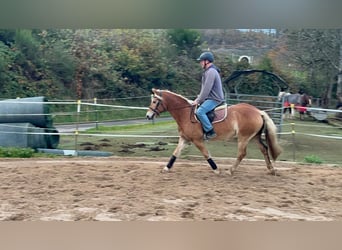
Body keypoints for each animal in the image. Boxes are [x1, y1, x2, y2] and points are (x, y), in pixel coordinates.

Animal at [146, 89, 282, 175]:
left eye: (155, 101)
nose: (148, 116)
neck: (185, 113)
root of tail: (258, 111)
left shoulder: (197, 140)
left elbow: (206, 154)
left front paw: (216, 170)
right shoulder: (184, 139)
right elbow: (175, 153)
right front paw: (166, 168)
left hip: (244, 137)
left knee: (242, 154)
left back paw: (231, 170)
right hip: (254, 137)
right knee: (264, 149)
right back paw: (271, 170)